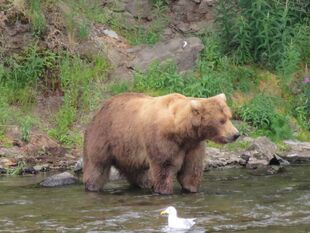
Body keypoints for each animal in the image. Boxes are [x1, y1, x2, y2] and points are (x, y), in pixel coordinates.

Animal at [83, 92, 240, 194]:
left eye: (229, 116)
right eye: (221, 120)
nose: (236, 134)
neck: (181, 131)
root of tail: (101, 108)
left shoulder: (193, 145)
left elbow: (191, 169)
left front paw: (191, 188)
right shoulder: (162, 140)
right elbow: (164, 167)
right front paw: (164, 190)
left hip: (128, 148)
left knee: (136, 171)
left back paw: (144, 184)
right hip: (104, 136)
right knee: (97, 165)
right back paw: (92, 186)